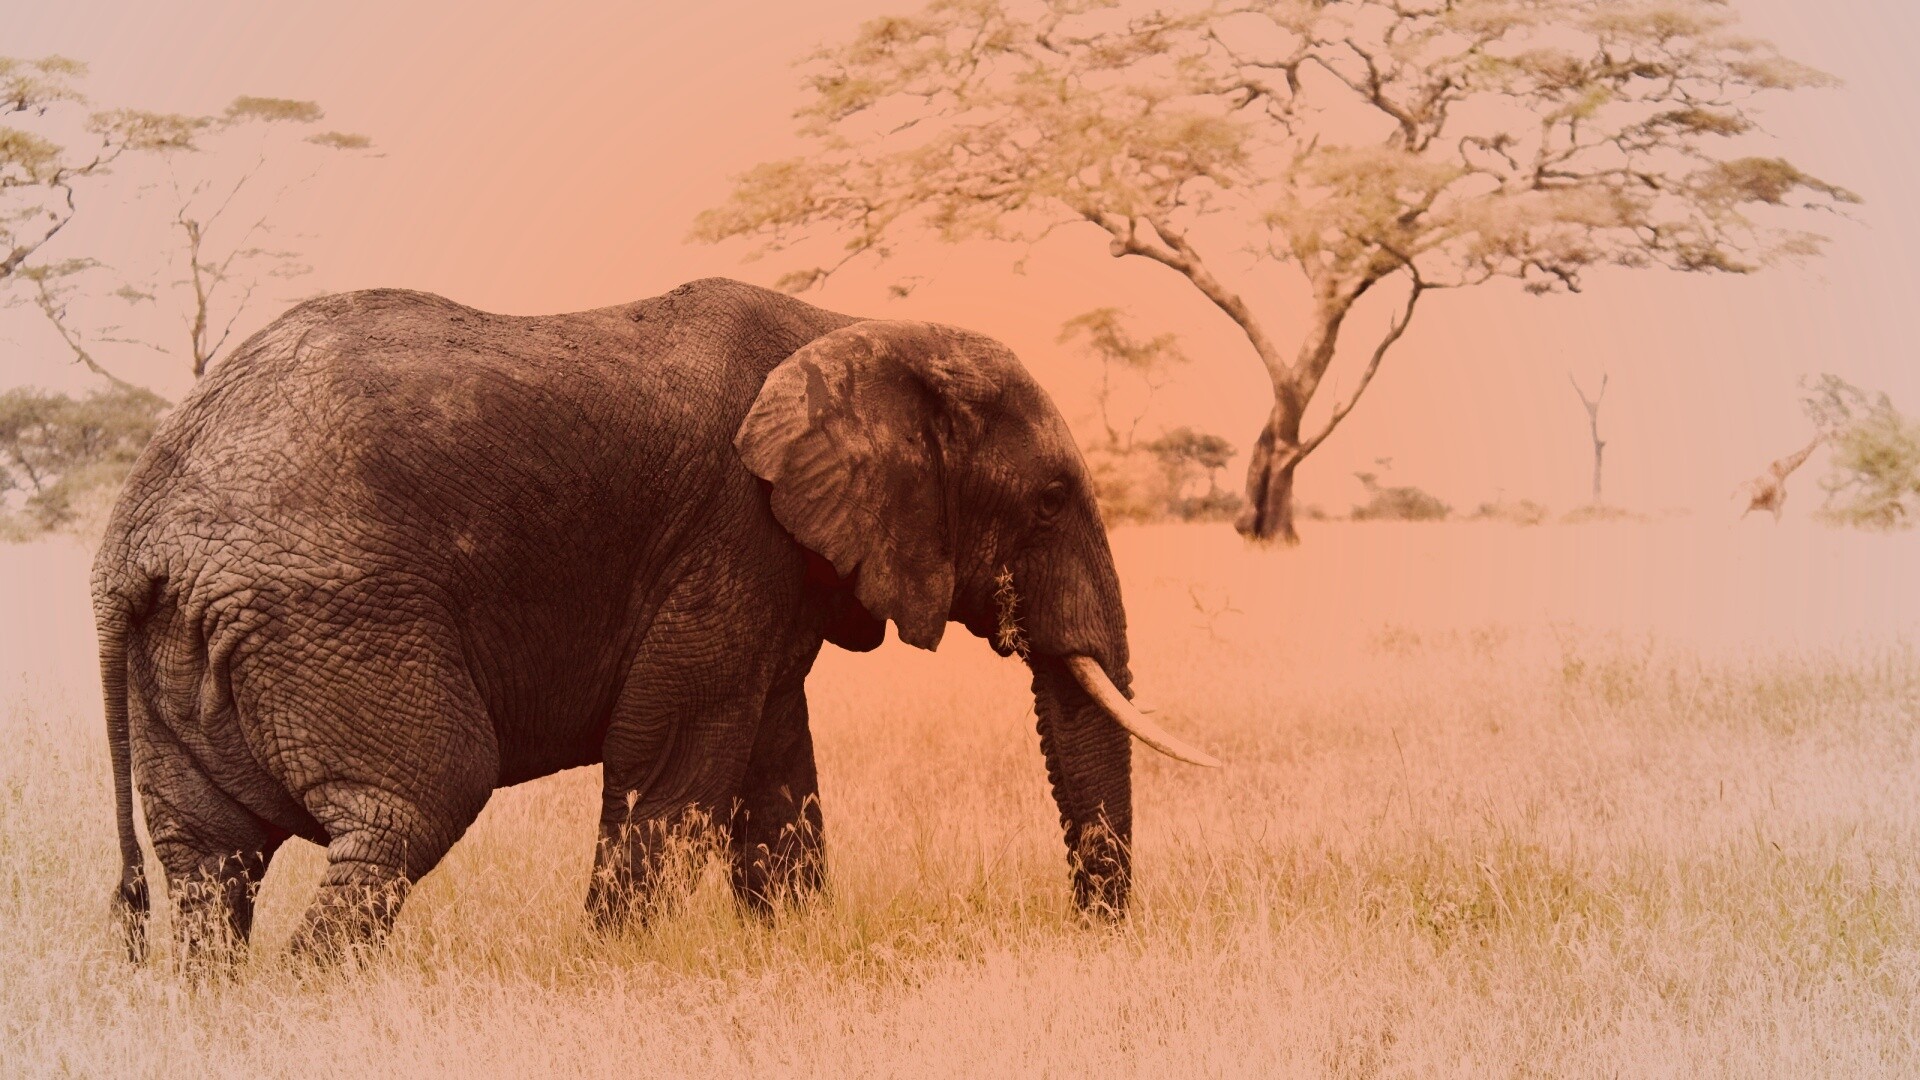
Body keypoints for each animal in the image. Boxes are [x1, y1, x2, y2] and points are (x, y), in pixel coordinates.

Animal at [92, 277, 1218, 965]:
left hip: (191, 646)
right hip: (332, 614)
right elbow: (673, 751)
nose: (1093, 936)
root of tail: (134, 535)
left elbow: (773, 764)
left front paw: (789, 950)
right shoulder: (729, 530)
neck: (853, 326)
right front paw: (613, 967)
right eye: (1052, 499)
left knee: (209, 860)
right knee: (411, 806)